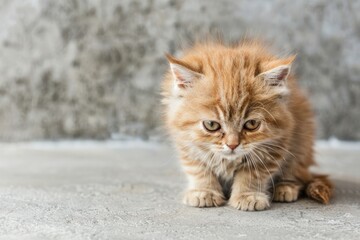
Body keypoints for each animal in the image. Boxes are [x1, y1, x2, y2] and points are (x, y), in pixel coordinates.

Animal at [162, 40, 334, 211]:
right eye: (211, 125)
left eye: (251, 124)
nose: (232, 145)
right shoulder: (187, 144)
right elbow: (199, 169)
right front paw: (204, 191)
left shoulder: (276, 143)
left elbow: (252, 174)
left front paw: (248, 196)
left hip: (302, 144)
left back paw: (285, 188)